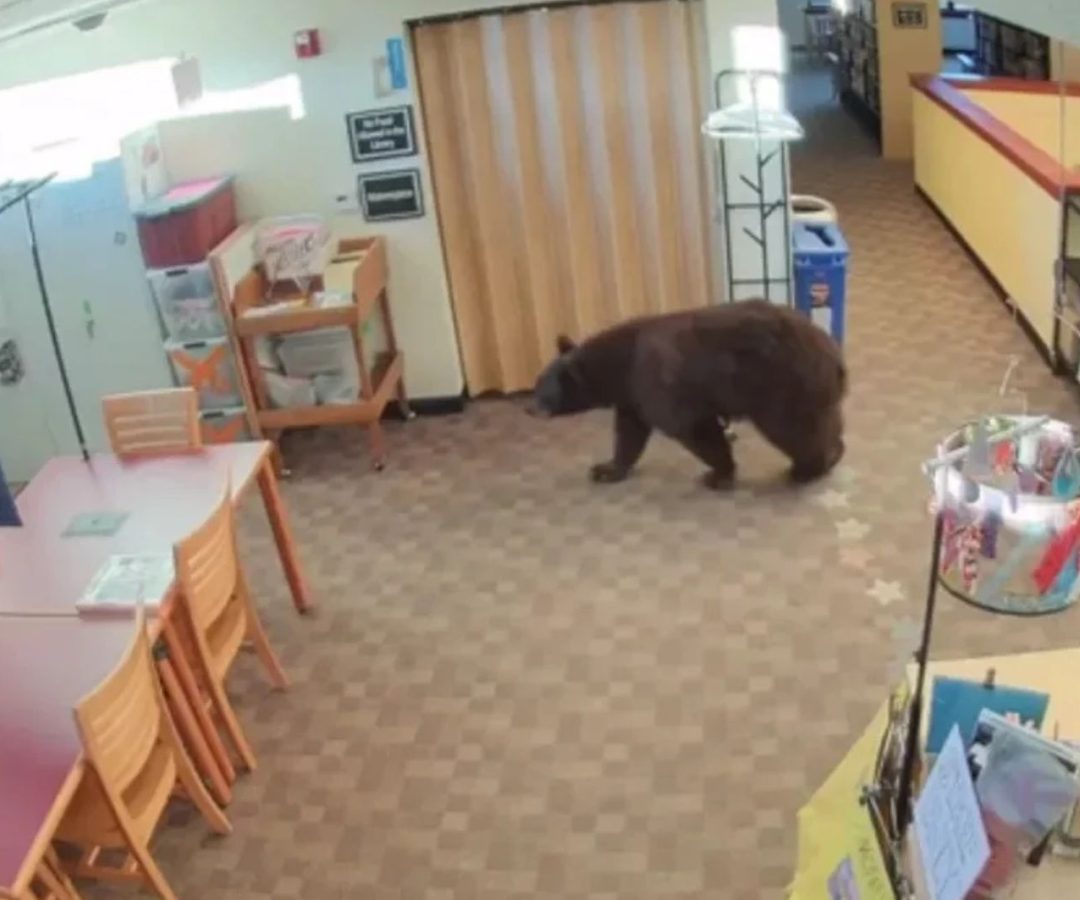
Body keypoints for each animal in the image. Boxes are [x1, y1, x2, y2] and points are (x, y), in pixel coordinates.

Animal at [529, 300, 846, 488]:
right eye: (536, 381)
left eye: (542, 390)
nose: (528, 408)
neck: (623, 363)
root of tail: (833, 354)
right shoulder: (632, 395)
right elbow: (629, 433)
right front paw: (606, 469)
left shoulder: (659, 383)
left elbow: (692, 427)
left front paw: (718, 473)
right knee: (826, 422)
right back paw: (835, 451)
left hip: (781, 385)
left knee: (794, 430)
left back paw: (809, 468)